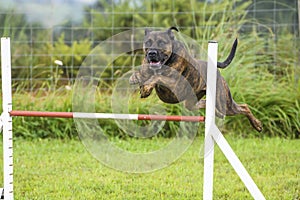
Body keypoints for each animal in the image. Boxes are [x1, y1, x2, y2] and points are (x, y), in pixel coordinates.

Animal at [129, 27, 262, 132]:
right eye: (148, 42)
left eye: (162, 42)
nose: (151, 53)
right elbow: (144, 74)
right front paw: (136, 78)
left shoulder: (174, 84)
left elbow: (157, 77)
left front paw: (146, 87)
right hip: (192, 103)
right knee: (203, 103)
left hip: (225, 103)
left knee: (244, 107)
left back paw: (257, 125)